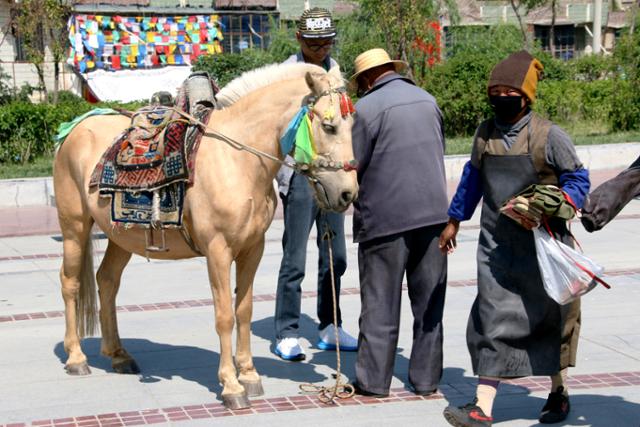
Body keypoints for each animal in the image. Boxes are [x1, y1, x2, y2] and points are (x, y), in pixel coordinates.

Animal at [52, 62, 358, 408]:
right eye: (329, 126)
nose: (347, 193)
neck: (238, 160)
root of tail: (76, 128)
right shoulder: (218, 251)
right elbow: (224, 315)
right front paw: (231, 386)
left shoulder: (252, 250)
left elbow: (244, 311)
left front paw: (249, 375)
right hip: (75, 226)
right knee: (71, 283)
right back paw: (76, 358)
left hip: (122, 236)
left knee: (107, 281)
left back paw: (118, 355)